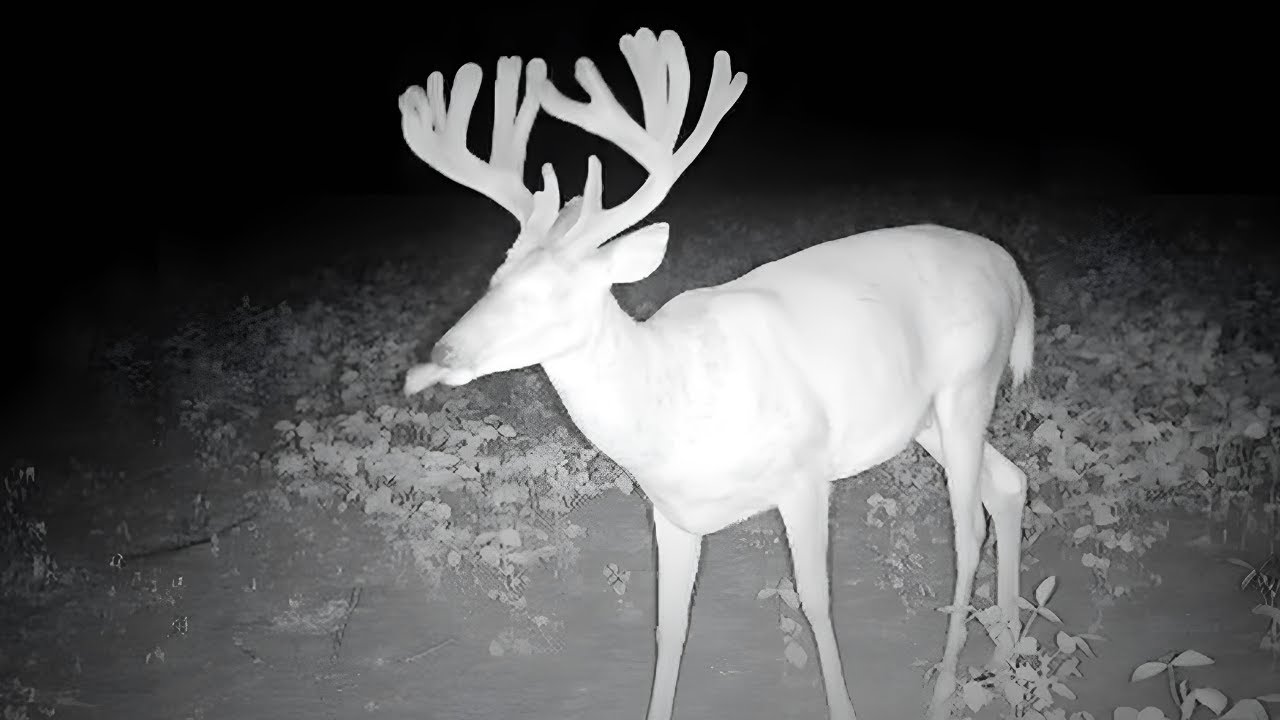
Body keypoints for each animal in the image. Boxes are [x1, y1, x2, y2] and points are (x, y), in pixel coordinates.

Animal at [398, 27, 1035, 720]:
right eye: (496, 277)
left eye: (553, 292)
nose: (446, 351)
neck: (675, 402)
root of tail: (1012, 271)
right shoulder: (672, 513)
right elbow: (669, 624)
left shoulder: (805, 471)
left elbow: (817, 603)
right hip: (923, 419)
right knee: (1011, 484)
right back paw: (1006, 666)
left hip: (967, 386)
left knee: (969, 528)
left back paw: (947, 691)